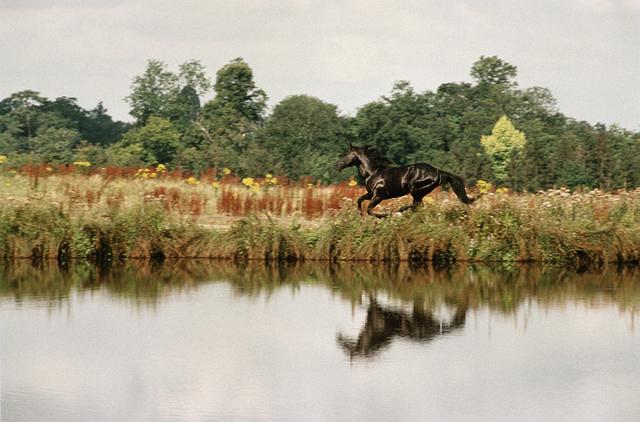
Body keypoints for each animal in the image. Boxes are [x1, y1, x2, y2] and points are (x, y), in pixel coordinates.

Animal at [335, 143, 477, 218]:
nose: (337, 166)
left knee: (417, 205)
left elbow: (369, 210)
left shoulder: (378, 196)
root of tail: (437, 171)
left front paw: (384, 216)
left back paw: (400, 210)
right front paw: (359, 213)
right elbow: (359, 200)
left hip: (416, 190)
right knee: (418, 205)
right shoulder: (371, 195)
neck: (372, 173)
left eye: (345, 154)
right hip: (418, 193)